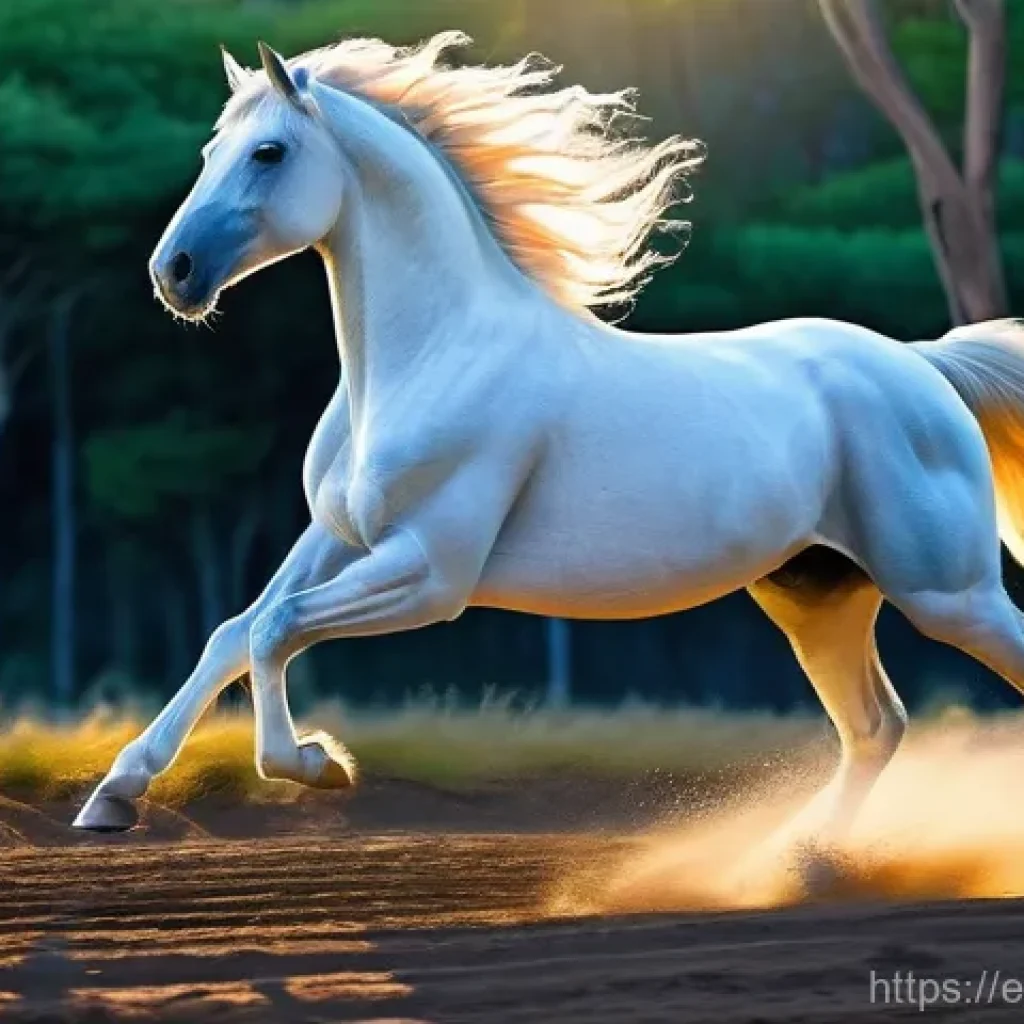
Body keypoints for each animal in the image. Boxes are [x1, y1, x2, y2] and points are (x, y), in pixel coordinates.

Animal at [75, 33, 1024, 844]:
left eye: (268, 153)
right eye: (211, 153)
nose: (174, 274)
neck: (428, 359)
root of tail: (921, 364)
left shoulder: (431, 572)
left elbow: (277, 630)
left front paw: (317, 764)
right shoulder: (337, 536)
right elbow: (235, 630)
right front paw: (113, 795)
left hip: (948, 591)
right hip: (817, 595)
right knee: (875, 727)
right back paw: (799, 863)